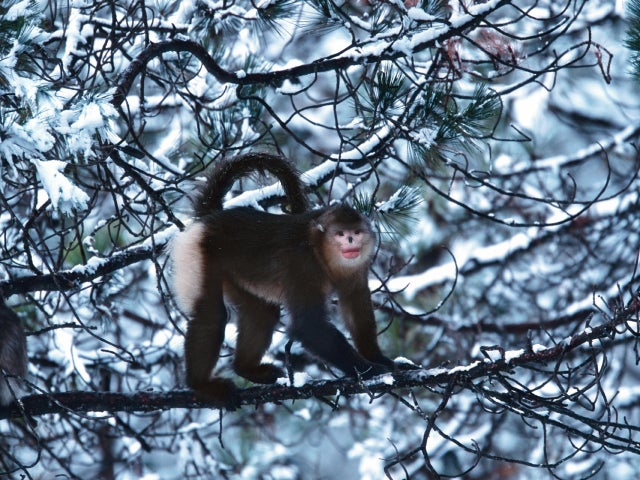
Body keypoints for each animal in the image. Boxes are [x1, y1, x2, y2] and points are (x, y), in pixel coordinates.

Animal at [170, 153, 395, 407]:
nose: (349, 240)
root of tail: (208, 218)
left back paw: (247, 369)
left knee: (261, 313)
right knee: (211, 315)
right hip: (198, 254)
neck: (320, 250)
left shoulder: (356, 267)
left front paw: (379, 359)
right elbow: (309, 325)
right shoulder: (302, 264)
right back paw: (201, 385)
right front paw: (368, 370)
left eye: (356, 233)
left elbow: (356, 308)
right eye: (340, 234)